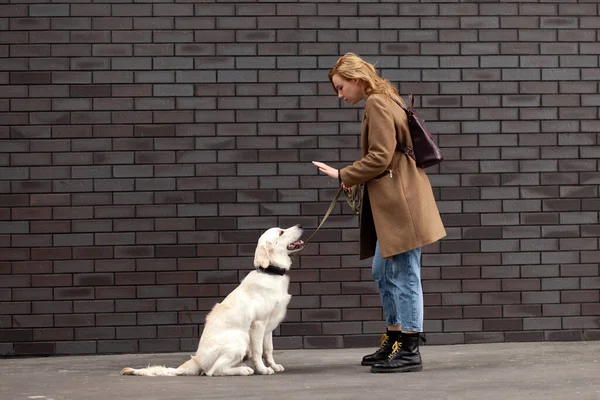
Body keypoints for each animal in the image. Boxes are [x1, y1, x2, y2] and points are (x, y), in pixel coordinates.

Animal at [120, 225, 304, 378]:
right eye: (281, 232)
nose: (300, 225)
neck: (270, 273)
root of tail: (196, 360)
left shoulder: (268, 327)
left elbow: (268, 349)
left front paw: (273, 365)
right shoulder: (258, 325)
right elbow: (259, 351)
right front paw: (263, 369)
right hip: (239, 338)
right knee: (213, 371)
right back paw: (243, 369)